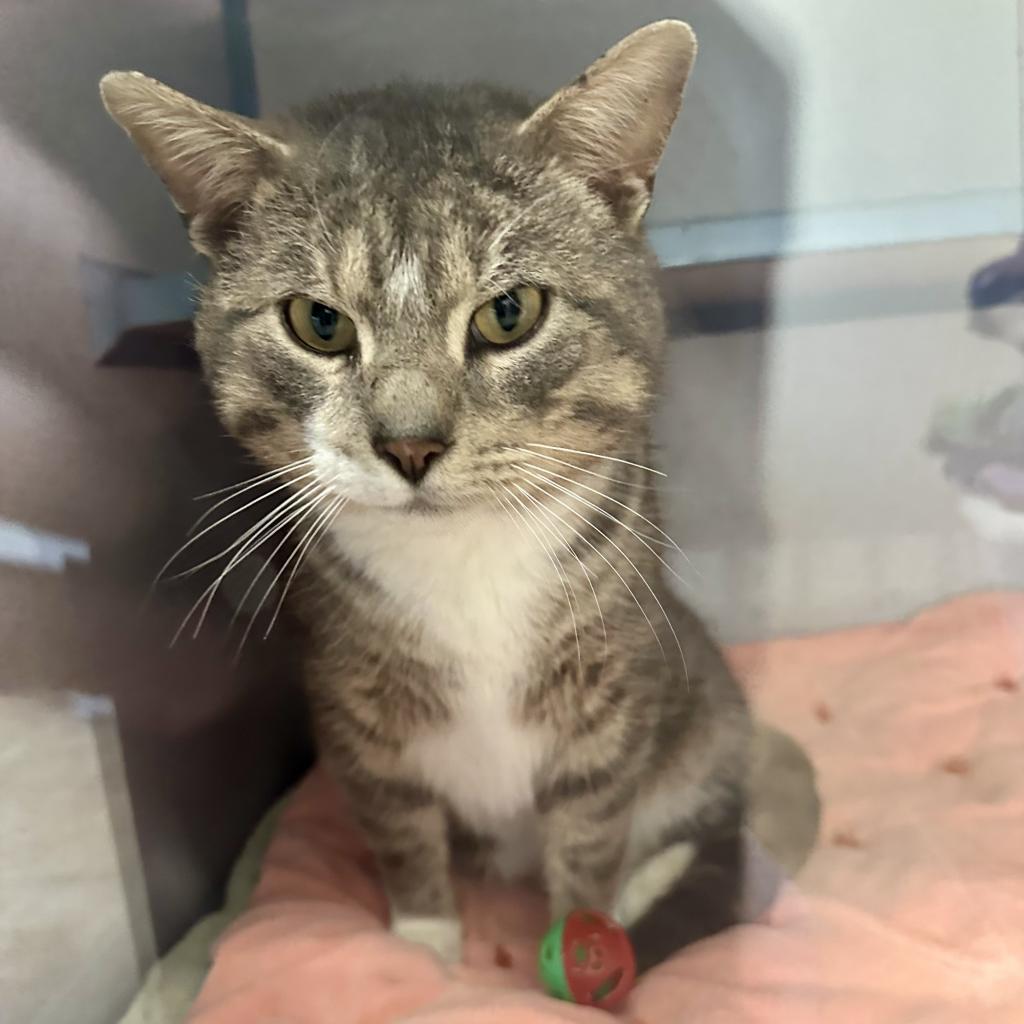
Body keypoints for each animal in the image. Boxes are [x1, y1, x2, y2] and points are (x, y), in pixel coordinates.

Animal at [99, 19, 753, 970]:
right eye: (318, 323)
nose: (409, 445)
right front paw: (430, 953)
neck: (463, 558)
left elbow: (591, 839)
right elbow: (403, 837)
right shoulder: (353, 709)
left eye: (509, 312)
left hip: (703, 712)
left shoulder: (611, 700)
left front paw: (582, 942)